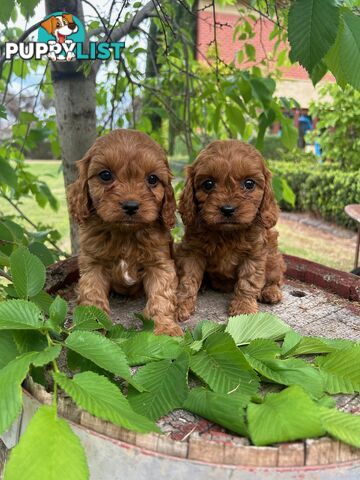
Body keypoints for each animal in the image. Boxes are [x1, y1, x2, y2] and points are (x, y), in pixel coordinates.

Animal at [67, 129, 181, 336]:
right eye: (105, 175)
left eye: (152, 179)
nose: (131, 205)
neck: (125, 234)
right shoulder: (93, 264)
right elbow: (92, 295)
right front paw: (92, 328)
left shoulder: (160, 264)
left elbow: (161, 296)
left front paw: (165, 328)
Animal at [176, 141, 286, 320]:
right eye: (208, 184)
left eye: (249, 184)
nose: (228, 209)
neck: (227, 233)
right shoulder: (192, 251)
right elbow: (188, 279)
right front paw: (179, 304)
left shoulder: (254, 253)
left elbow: (248, 281)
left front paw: (244, 309)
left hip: (274, 257)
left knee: (276, 278)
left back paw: (270, 291)